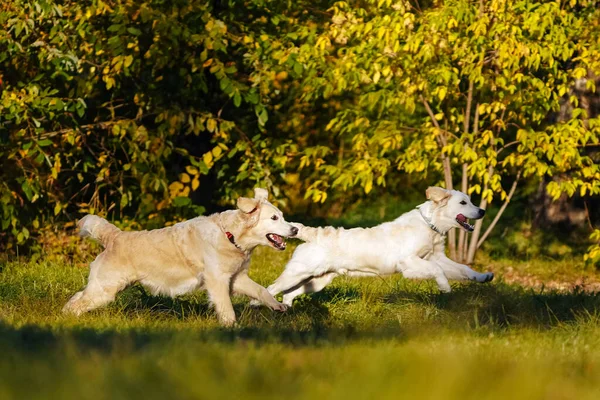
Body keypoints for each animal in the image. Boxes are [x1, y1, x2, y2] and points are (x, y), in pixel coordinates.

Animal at [63, 188, 298, 324]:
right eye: (274, 218)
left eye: (282, 217)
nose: (295, 229)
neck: (230, 236)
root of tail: (115, 236)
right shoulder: (217, 281)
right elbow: (227, 308)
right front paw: (232, 327)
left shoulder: (237, 278)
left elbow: (261, 290)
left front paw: (277, 305)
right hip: (105, 289)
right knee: (78, 303)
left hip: (101, 287)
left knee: (76, 297)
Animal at [264, 188, 494, 306]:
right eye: (463, 203)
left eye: (471, 201)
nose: (482, 211)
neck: (430, 225)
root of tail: (311, 232)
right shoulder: (409, 262)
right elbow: (438, 271)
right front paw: (445, 287)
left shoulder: (436, 257)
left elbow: (463, 269)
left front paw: (483, 276)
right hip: (297, 273)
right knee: (271, 289)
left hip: (317, 280)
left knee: (288, 294)